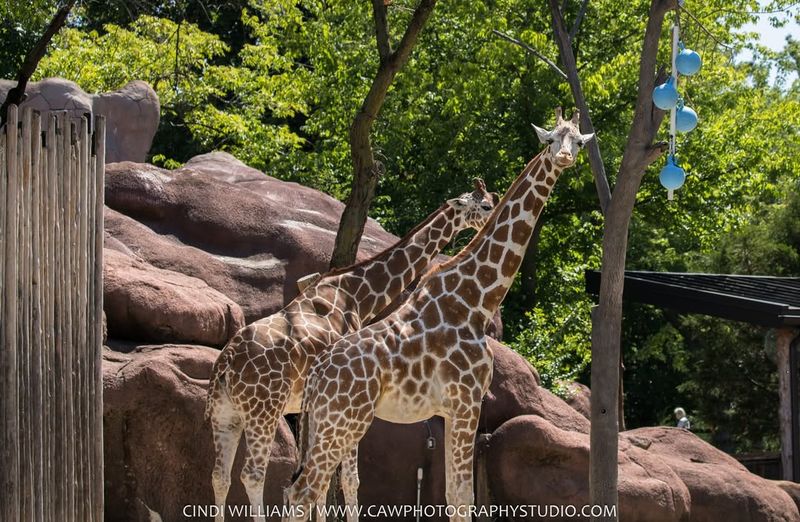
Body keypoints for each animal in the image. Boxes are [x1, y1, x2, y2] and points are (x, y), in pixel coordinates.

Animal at [206, 178, 494, 516]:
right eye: (485, 205)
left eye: (491, 200)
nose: (493, 219)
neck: (356, 293)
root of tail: (225, 364)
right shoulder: (347, 399)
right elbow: (348, 479)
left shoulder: (314, 408)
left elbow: (315, 483)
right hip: (263, 411)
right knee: (252, 475)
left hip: (225, 414)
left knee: (220, 476)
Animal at [284, 107, 592, 516]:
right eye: (552, 139)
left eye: (578, 140)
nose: (564, 158)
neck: (477, 299)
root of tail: (316, 378)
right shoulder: (466, 401)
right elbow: (462, 497)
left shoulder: (449, 410)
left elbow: (452, 494)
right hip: (343, 420)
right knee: (304, 492)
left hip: (323, 423)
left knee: (304, 490)